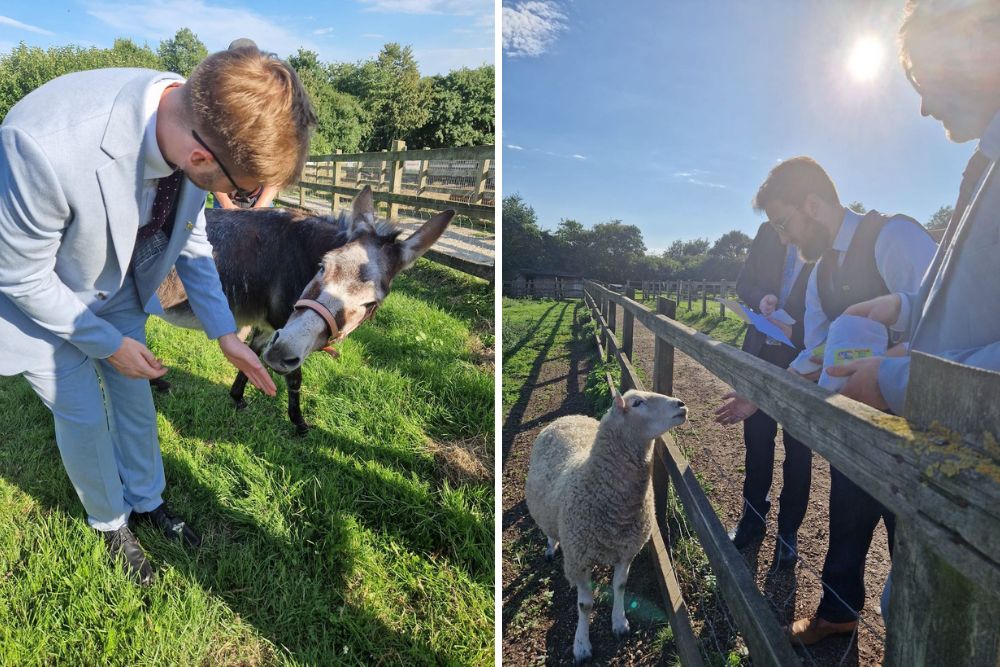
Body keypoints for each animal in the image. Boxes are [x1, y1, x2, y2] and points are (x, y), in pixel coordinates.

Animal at [528, 386, 684, 664]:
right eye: (637, 403)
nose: (681, 405)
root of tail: (568, 417)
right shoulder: (579, 560)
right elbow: (585, 605)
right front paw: (581, 645)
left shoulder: (627, 550)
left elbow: (619, 586)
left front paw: (619, 622)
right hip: (546, 513)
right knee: (549, 531)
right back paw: (550, 547)